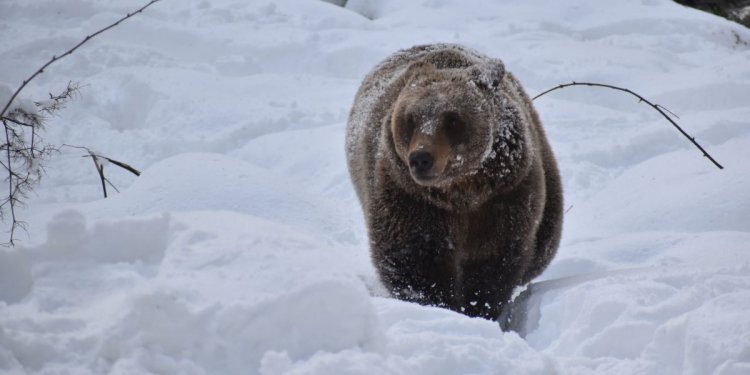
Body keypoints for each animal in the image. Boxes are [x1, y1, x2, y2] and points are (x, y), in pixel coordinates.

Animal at [346, 43, 564, 320]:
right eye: (410, 118)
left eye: (452, 118)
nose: (421, 158)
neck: (461, 191)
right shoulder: (410, 198)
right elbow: (415, 261)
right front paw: (440, 305)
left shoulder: (504, 196)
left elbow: (493, 261)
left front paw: (478, 307)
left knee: (543, 247)